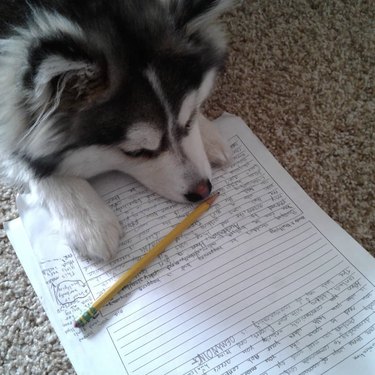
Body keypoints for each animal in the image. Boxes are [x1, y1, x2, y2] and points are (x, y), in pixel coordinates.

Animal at [0, 0, 235, 262]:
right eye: (136, 152)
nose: (203, 191)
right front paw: (88, 219)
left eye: (189, 121)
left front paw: (209, 135)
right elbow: (26, 151)